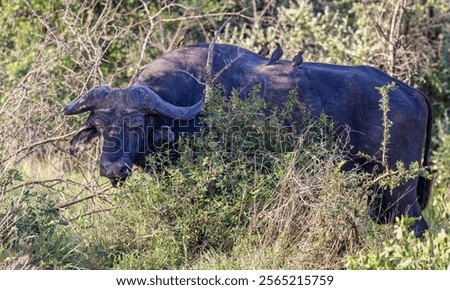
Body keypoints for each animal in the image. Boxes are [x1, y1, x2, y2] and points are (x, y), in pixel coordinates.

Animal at [64, 43, 432, 236]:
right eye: (99, 125)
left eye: (137, 125)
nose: (112, 169)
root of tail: (410, 92)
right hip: (376, 192)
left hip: (399, 189)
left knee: (418, 226)